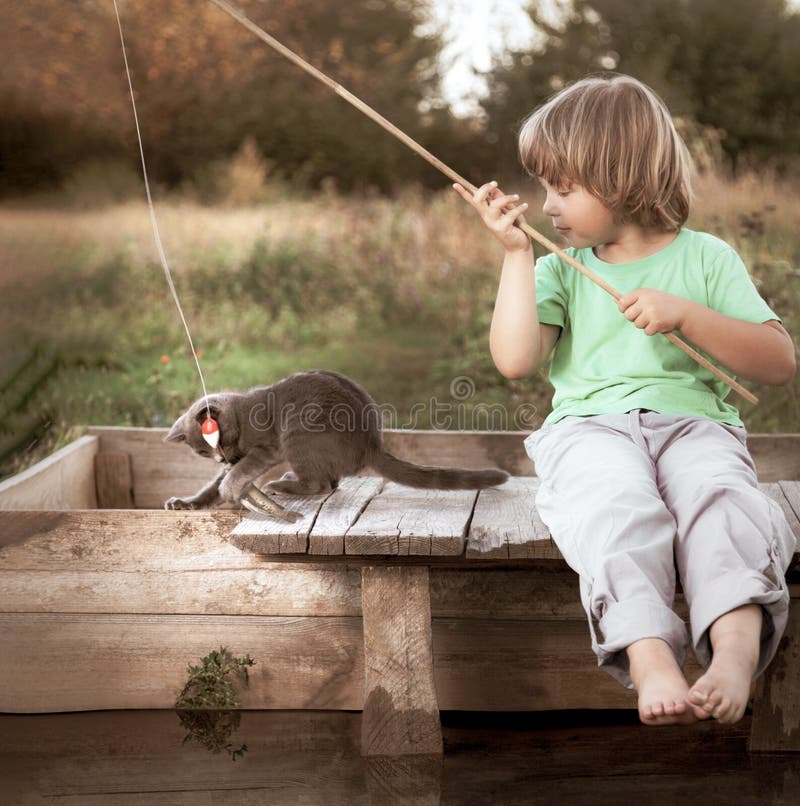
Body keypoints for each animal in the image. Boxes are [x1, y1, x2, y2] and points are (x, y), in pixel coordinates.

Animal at [166, 370, 510, 520]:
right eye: (202, 452)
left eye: (218, 441)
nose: (221, 458)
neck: (241, 414)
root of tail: (372, 445)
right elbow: (211, 487)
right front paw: (186, 503)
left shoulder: (265, 448)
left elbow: (240, 472)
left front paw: (231, 486)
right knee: (330, 482)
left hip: (298, 433)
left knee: (321, 485)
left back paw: (281, 484)